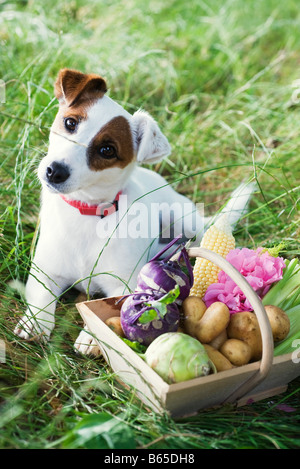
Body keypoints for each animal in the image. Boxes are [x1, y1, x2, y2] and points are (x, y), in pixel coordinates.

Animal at [13, 68, 253, 354]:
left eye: (107, 150)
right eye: (70, 123)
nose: (54, 171)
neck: (88, 212)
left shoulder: (123, 282)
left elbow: (113, 308)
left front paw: (93, 336)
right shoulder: (46, 271)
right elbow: (41, 297)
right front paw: (35, 322)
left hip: (187, 222)